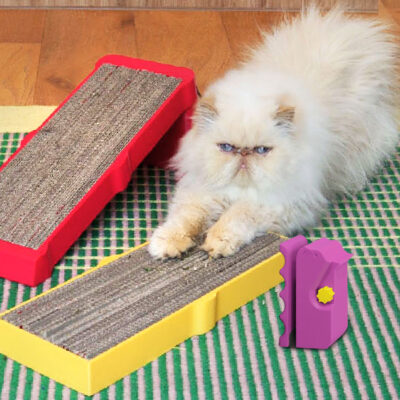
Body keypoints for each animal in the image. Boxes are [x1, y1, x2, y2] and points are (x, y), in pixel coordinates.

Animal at [148, 7, 400, 259]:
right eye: (226, 147)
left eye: (261, 150)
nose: (243, 155)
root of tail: (359, 31)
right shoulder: (202, 193)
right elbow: (185, 218)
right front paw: (165, 245)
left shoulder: (277, 202)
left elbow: (234, 218)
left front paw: (216, 244)